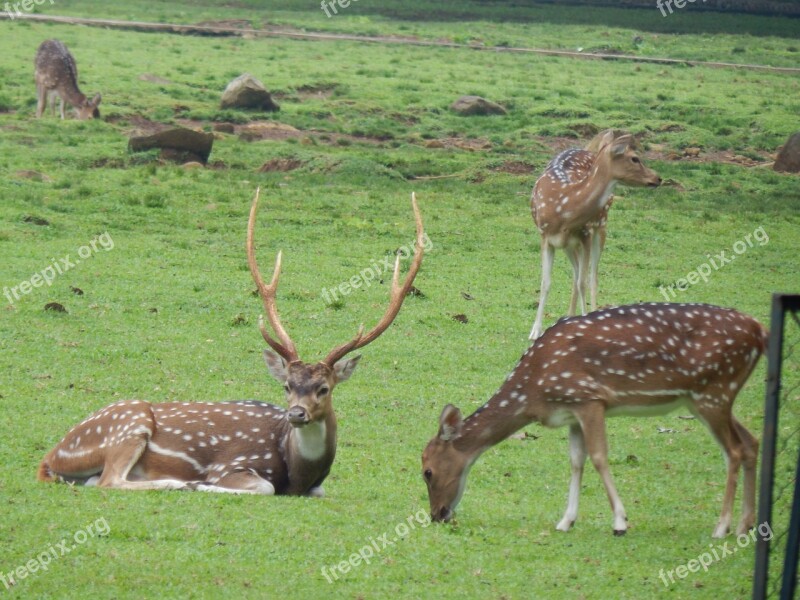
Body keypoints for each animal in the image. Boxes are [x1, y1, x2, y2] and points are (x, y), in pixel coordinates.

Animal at [39, 190, 424, 494]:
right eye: (287, 385)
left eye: (324, 388)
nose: (296, 413)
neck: (298, 474)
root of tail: (52, 455)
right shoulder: (234, 464)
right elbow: (263, 487)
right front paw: (204, 485)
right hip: (129, 425)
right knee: (109, 480)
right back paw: (179, 483)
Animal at [422, 302, 764, 536]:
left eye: (427, 472)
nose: (437, 514)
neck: (534, 391)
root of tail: (761, 331)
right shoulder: (572, 412)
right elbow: (576, 461)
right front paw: (565, 521)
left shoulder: (589, 398)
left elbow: (599, 456)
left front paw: (620, 522)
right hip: (712, 399)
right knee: (751, 442)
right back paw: (746, 525)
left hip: (714, 392)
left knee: (733, 451)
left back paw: (721, 528)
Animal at [532, 131, 664, 340]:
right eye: (635, 158)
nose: (658, 178)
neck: (563, 209)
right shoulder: (545, 236)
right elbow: (546, 282)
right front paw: (535, 331)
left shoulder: (585, 233)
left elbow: (584, 282)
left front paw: (586, 320)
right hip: (570, 244)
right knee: (576, 273)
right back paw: (569, 316)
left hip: (601, 225)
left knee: (592, 277)